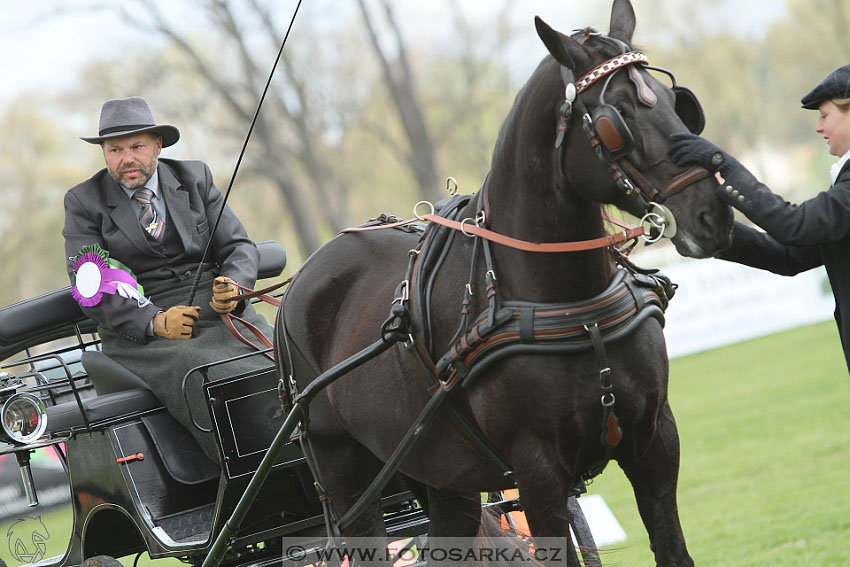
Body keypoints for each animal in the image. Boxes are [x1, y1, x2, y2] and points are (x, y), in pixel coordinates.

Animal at [274, 2, 732, 564]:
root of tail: (298, 283)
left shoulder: (654, 439)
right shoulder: (538, 470)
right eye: (617, 116)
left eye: (676, 103)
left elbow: (671, 546)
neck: (569, 306)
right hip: (347, 476)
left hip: (437, 463)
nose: (713, 214)